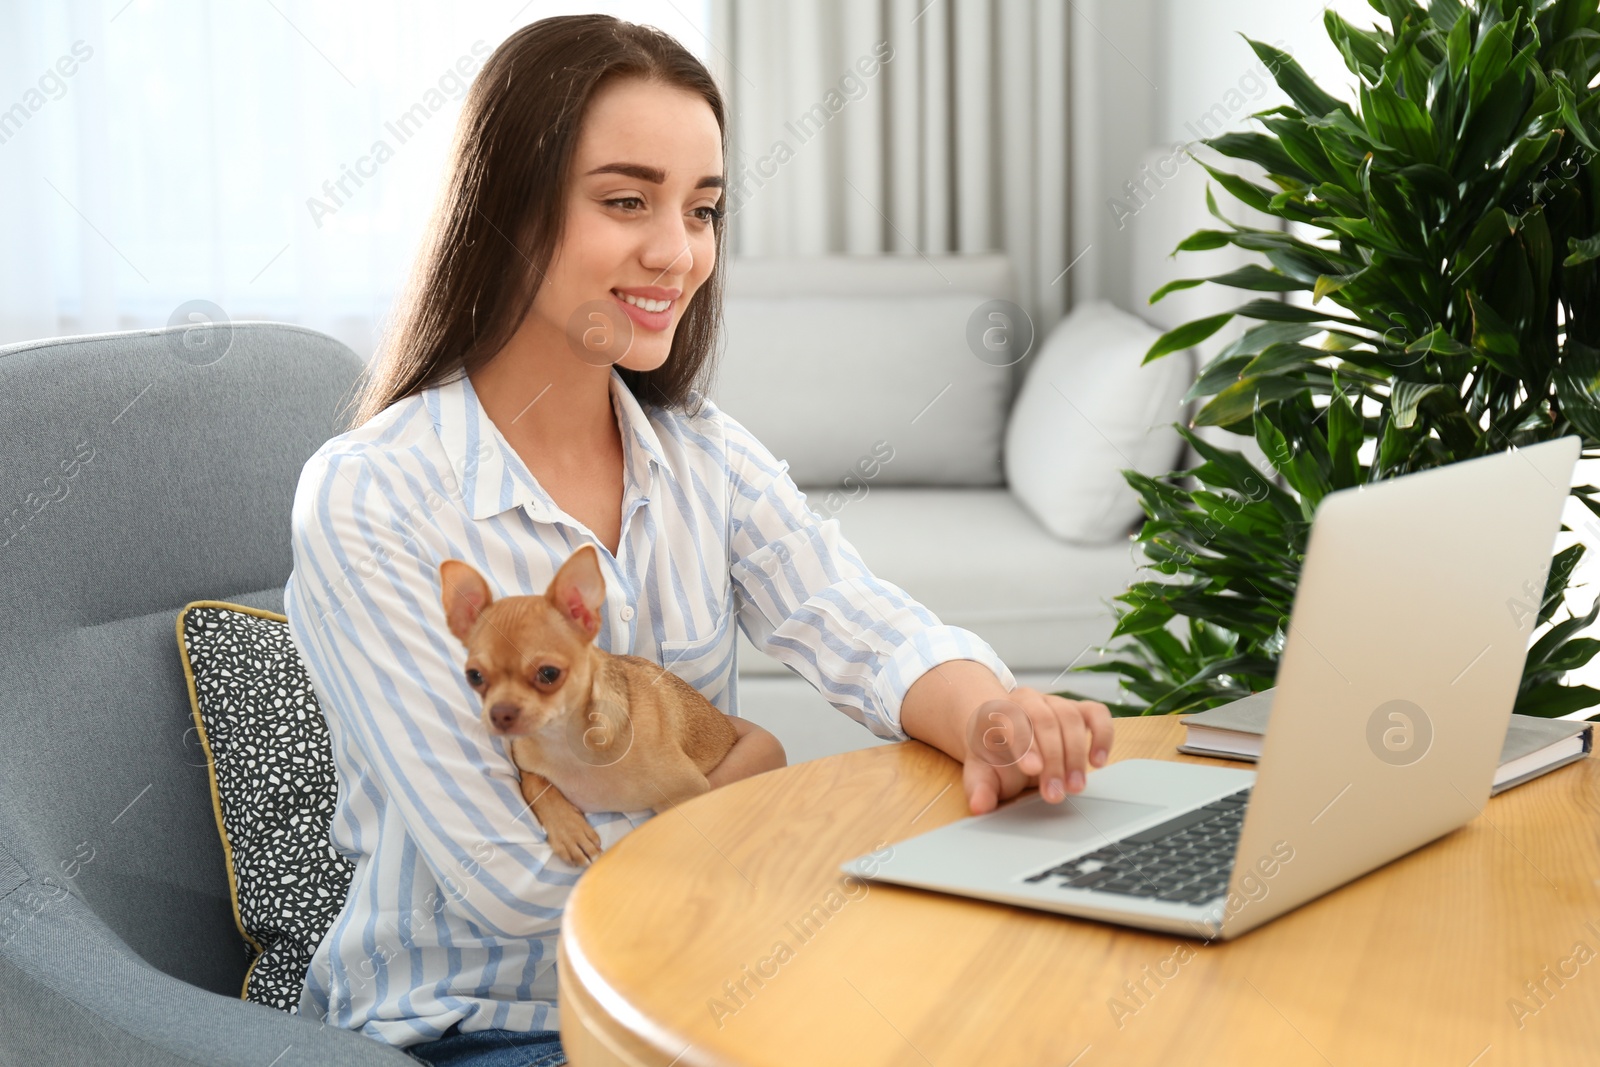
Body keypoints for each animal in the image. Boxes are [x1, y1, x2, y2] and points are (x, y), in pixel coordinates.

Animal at [438, 543, 736, 870]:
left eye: (548, 674)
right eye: (474, 676)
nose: (500, 712)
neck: (564, 743)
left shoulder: (689, 791)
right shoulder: (528, 767)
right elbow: (535, 785)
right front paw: (569, 830)